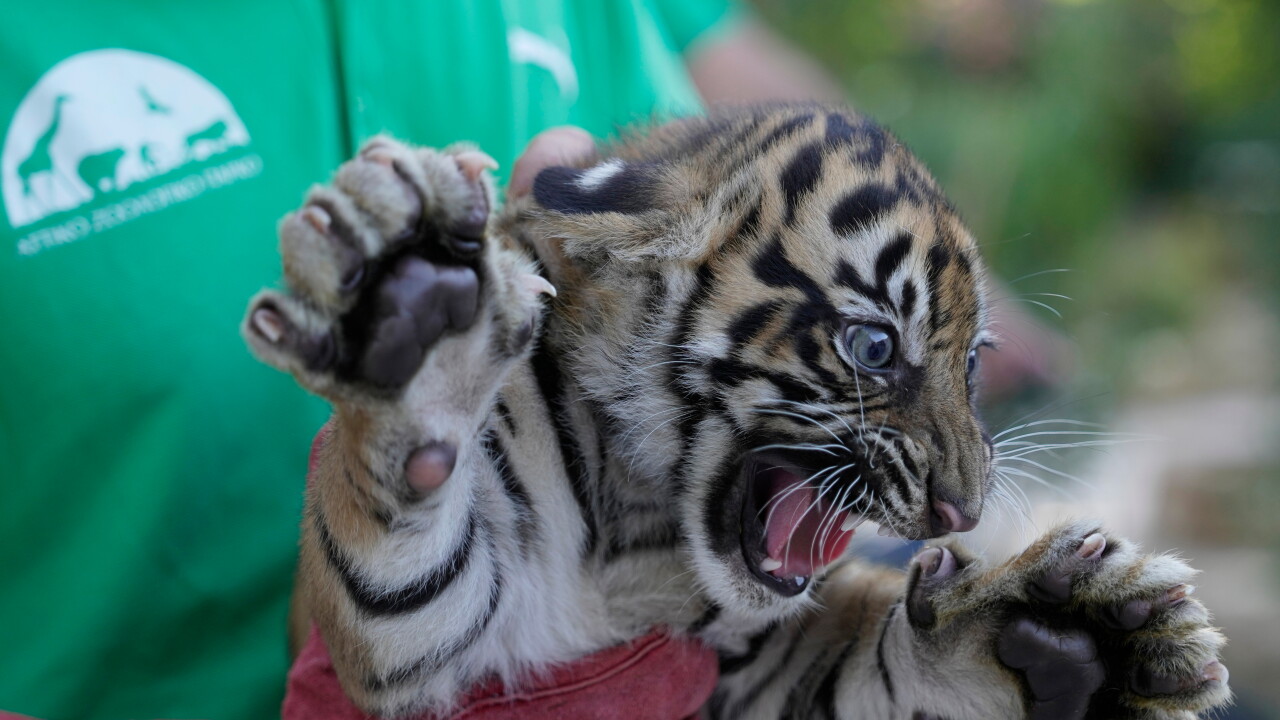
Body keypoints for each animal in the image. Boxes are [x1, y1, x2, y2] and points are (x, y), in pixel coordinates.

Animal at [243, 104, 1231, 719]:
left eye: (975, 361)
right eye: (875, 347)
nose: (964, 511)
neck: (636, 532)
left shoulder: (759, 669)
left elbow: (887, 666)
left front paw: (1077, 635)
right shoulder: (410, 639)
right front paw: (411, 296)